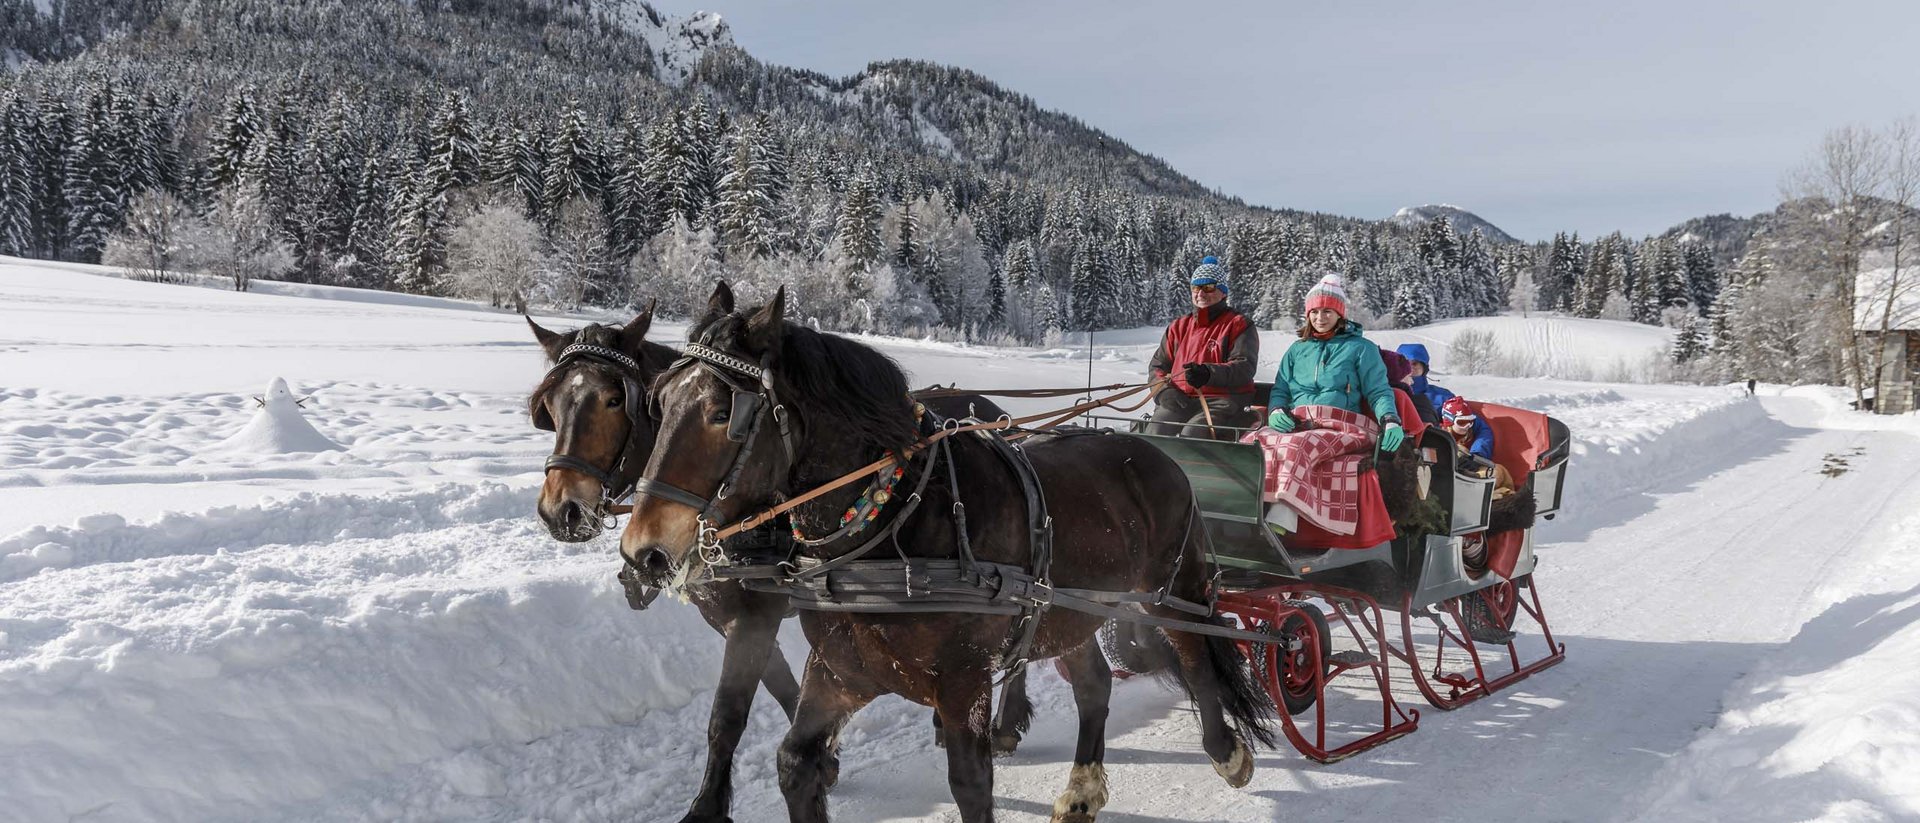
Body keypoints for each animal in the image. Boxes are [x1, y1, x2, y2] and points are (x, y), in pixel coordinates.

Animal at [526, 306, 1036, 821]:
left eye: (615, 400)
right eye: (549, 404)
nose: (561, 511)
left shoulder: (756, 613)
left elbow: (727, 716)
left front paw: (708, 805)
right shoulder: (731, 615)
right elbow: (783, 686)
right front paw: (825, 760)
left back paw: (1005, 724)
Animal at [618, 283, 1274, 821]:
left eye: (722, 413)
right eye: (657, 401)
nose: (642, 553)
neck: (889, 524)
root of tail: (1159, 452)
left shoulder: (961, 683)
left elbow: (970, 784)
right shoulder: (838, 672)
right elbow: (794, 761)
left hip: (1171, 590)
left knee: (1195, 653)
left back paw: (1225, 750)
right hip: (1068, 610)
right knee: (1093, 685)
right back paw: (1082, 789)